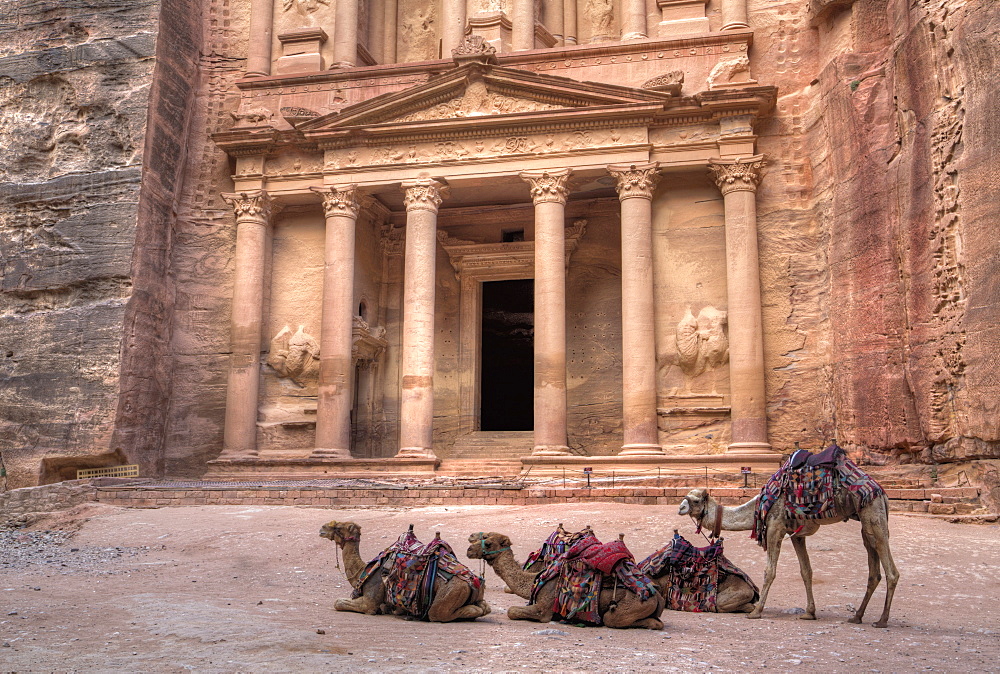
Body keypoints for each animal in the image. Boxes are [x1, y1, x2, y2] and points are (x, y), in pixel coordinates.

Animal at [320, 520, 492, 620]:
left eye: (338, 527)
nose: (322, 528)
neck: (365, 570)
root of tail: (474, 582)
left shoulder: (370, 601)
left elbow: (338, 602)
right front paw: (393, 610)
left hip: (452, 592)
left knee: (438, 613)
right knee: (484, 607)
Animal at [466, 532, 664, 632]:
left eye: (488, 542)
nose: (468, 549)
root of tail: (657, 596)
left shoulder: (544, 609)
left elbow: (512, 611)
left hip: (629, 606)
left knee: (613, 619)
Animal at [680, 486, 900, 628]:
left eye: (696, 500)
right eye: (686, 496)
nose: (680, 507)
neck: (758, 506)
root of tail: (884, 495)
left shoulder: (775, 526)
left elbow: (770, 571)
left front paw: (756, 612)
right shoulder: (796, 533)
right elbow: (806, 571)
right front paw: (809, 613)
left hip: (873, 514)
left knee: (890, 568)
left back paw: (882, 620)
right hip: (865, 519)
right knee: (873, 567)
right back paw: (857, 617)